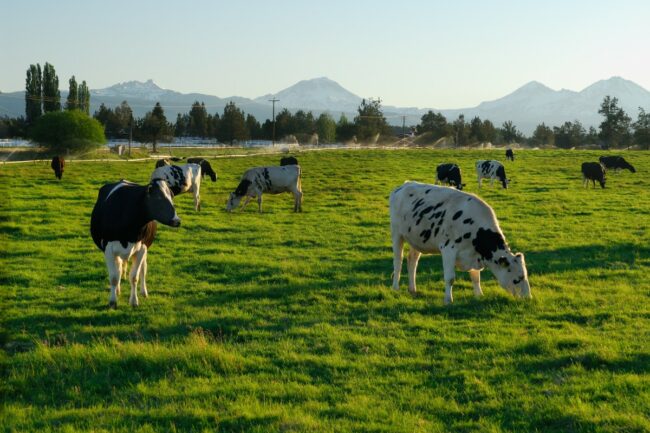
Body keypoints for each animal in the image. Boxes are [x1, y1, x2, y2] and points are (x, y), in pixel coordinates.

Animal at [88, 178, 180, 308]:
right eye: (158, 197)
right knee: (119, 269)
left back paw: (143, 292)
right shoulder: (108, 249)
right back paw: (117, 290)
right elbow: (114, 277)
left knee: (143, 269)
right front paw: (112, 301)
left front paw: (134, 301)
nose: (177, 221)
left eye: (171, 196)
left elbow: (134, 277)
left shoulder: (142, 248)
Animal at [388, 181, 528, 306]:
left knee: (412, 260)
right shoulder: (448, 249)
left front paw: (479, 295)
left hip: (416, 239)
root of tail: (404, 185)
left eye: (525, 276)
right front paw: (448, 300)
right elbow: (450, 278)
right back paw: (395, 287)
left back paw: (413, 289)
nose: (528, 298)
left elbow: (476, 277)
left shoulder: (472, 254)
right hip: (396, 233)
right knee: (398, 261)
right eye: (517, 279)